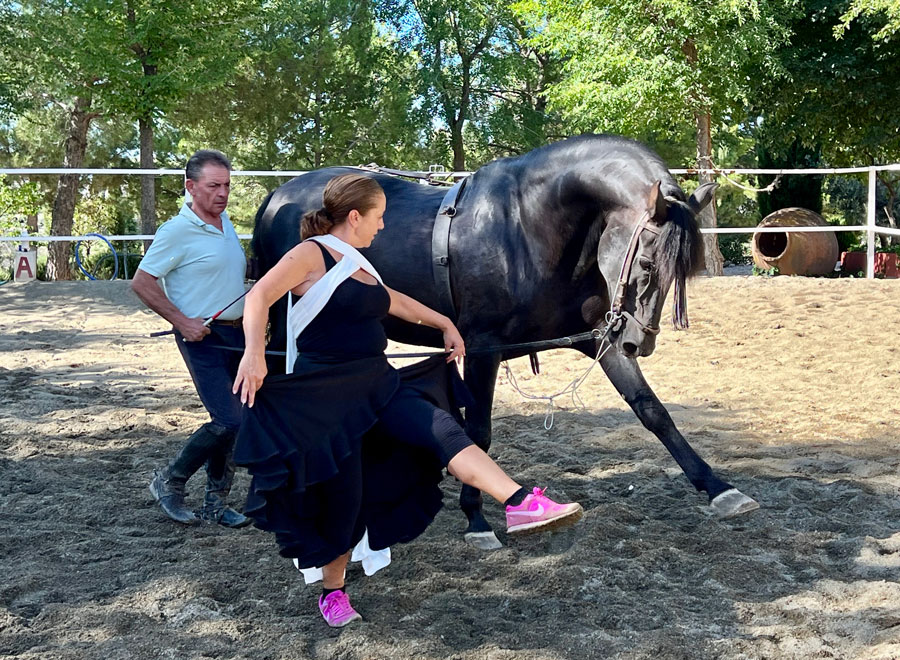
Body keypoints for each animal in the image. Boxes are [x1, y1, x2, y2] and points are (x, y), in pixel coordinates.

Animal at [250, 133, 756, 548]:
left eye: (682, 272)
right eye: (648, 264)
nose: (638, 342)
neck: (529, 227)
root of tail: (277, 195)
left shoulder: (600, 338)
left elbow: (653, 411)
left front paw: (719, 488)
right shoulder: (480, 347)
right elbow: (478, 431)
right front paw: (475, 518)